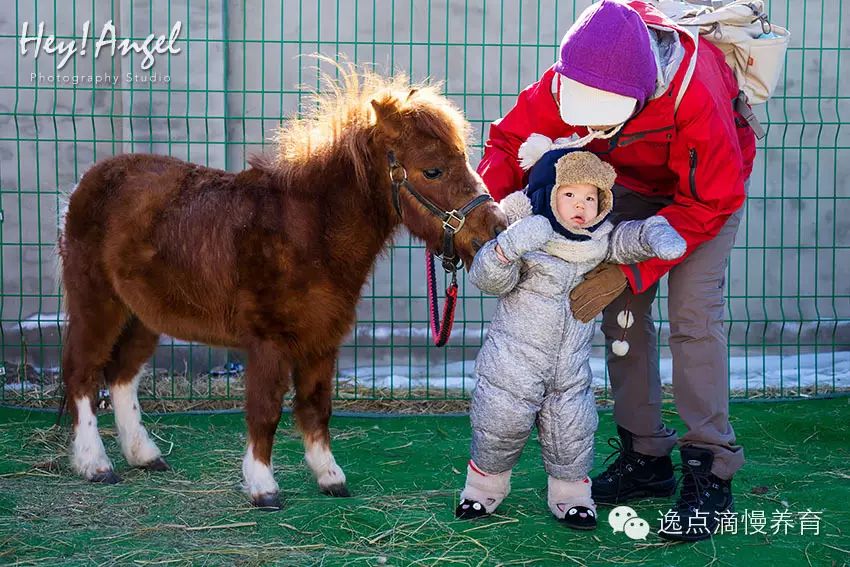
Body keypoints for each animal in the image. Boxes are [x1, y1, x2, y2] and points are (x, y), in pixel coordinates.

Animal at [61, 67, 510, 510]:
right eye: (433, 170)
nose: (496, 226)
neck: (307, 234)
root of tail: (88, 180)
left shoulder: (322, 341)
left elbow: (317, 407)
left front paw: (329, 477)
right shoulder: (268, 343)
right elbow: (266, 411)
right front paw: (263, 486)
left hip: (142, 315)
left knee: (122, 375)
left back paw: (144, 456)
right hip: (97, 303)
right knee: (83, 374)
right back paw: (95, 465)